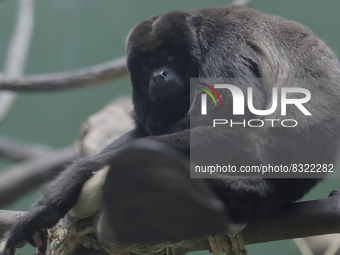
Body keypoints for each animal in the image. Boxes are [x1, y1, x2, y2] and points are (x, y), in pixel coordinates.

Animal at [0, 4, 340, 255]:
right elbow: (143, 131)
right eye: (148, 63)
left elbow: (234, 127)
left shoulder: (226, 48)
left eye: (171, 57)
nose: (159, 75)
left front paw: (66, 185)